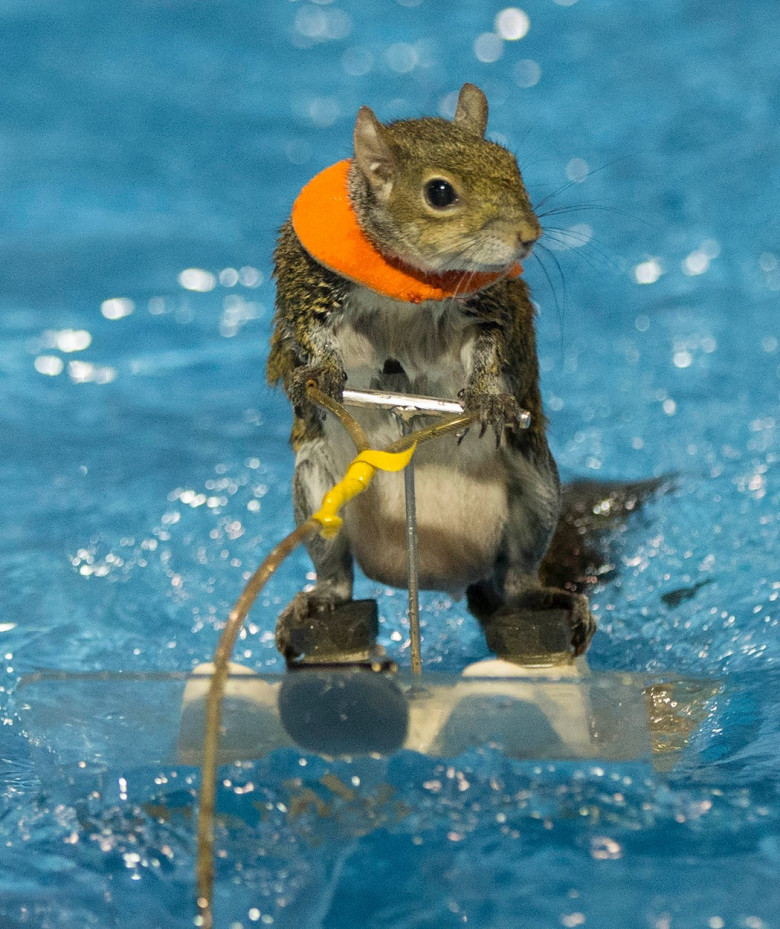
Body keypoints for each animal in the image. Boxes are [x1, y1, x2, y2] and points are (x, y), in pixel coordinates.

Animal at [268, 81, 596, 660]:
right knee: (336, 573)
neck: (411, 280)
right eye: (439, 193)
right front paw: (321, 373)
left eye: (511, 164)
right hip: (318, 497)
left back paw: (549, 598)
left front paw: (488, 395)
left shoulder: (489, 306)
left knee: (517, 577)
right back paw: (316, 601)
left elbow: (489, 348)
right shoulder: (309, 284)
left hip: (536, 492)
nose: (529, 235)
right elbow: (309, 334)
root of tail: (442, 573)